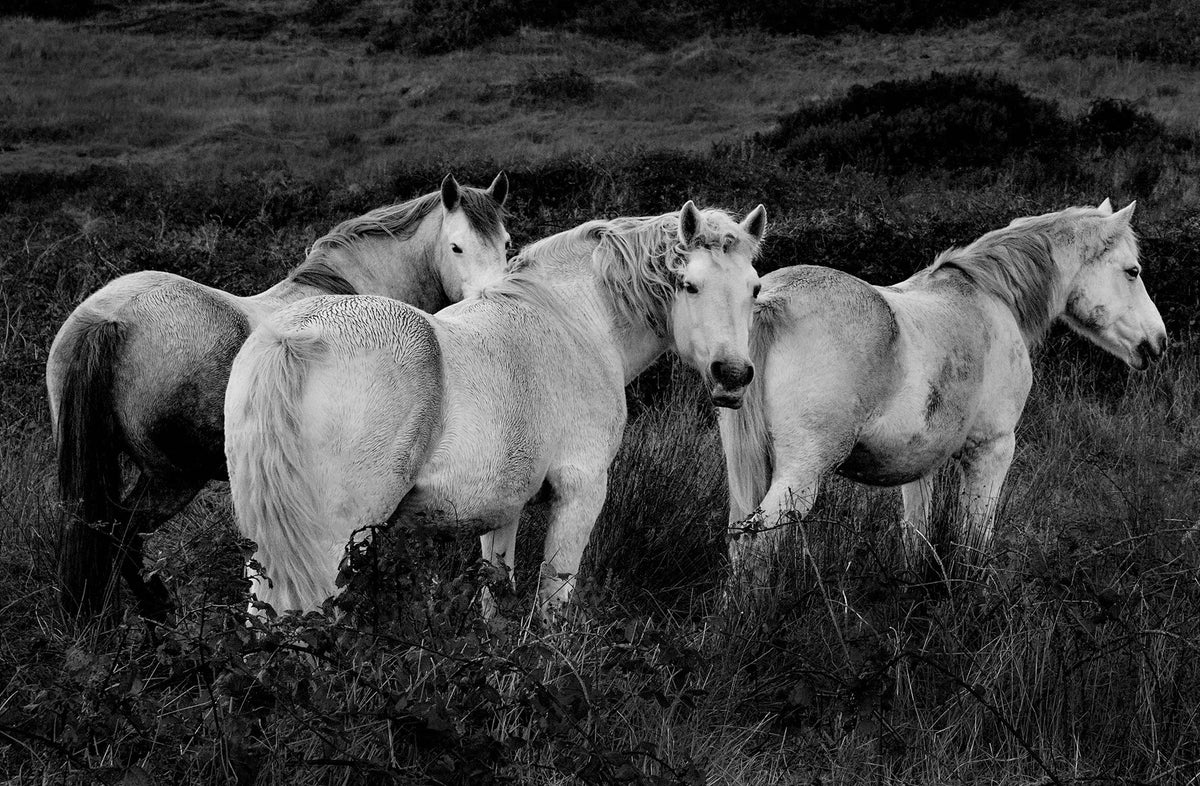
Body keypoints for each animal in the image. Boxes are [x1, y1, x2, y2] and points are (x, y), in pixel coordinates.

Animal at [46, 172, 511, 620]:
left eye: (506, 244)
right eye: (456, 246)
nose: (494, 303)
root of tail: (111, 320)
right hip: (173, 480)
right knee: (123, 534)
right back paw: (159, 611)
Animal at [224, 200, 767, 616]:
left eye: (755, 287)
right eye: (690, 285)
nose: (733, 376)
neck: (573, 321)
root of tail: (294, 337)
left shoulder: (502, 507)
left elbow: (496, 590)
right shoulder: (580, 492)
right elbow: (551, 604)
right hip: (332, 545)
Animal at [719, 201, 1167, 585]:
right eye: (1132, 271)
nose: (1158, 342)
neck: (991, 295)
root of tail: (771, 300)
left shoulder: (920, 466)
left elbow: (916, 533)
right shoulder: (993, 449)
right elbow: (975, 540)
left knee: (739, 540)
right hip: (803, 473)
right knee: (757, 539)